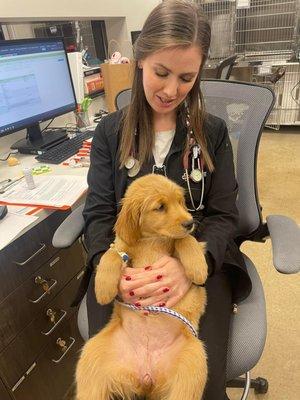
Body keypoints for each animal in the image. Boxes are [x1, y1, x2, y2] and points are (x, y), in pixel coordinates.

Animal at [77, 174, 209, 400]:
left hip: (193, 364)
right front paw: (103, 288)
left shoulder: (186, 242)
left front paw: (198, 267)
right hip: (91, 358)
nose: (190, 222)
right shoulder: (121, 247)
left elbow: (186, 240)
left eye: (180, 202)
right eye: (160, 207)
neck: (152, 239)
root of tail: (146, 376)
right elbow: (111, 254)